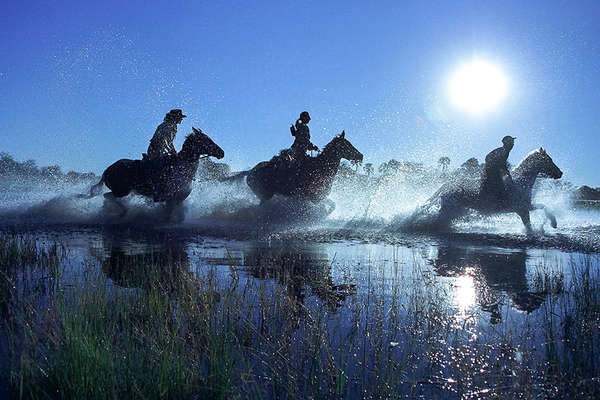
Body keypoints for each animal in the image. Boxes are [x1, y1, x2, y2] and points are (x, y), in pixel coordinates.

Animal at [86, 127, 223, 220]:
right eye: (206, 140)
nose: (221, 152)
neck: (181, 167)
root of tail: (107, 170)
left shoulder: (177, 199)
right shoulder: (168, 198)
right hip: (121, 191)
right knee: (107, 196)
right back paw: (124, 211)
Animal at [412, 148, 564, 233]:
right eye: (548, 160)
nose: (560, 173)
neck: (520, 182)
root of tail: (447, 186)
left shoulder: (526, 208)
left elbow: (541, 209)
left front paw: (549, 225)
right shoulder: (523, 209)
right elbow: (537, 216)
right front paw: (552, 224)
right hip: (449, 209)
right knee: (437, 220)